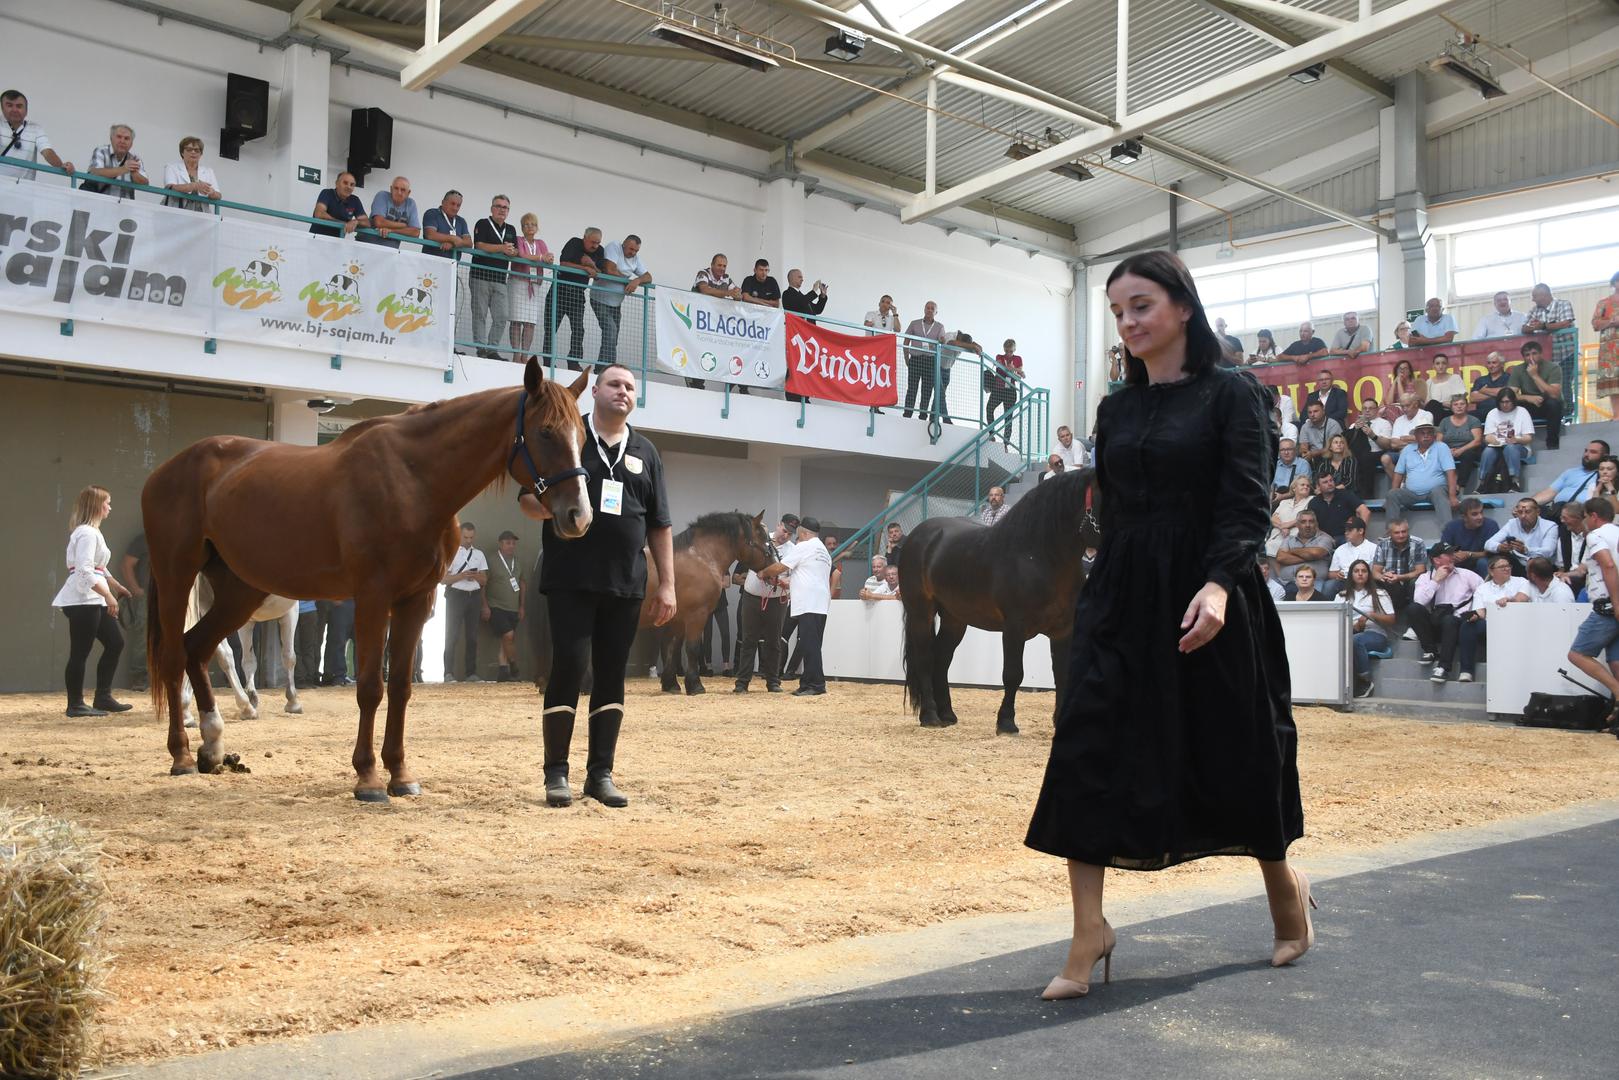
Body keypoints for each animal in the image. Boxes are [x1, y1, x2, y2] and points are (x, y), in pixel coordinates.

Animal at [180, 582, 304, 725]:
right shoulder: (290, 610)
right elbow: (289, 657)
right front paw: (293, 702)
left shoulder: (247, 622)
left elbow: (249, 661)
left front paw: (252, 695)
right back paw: (246, 708)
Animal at [641, 511, 773, 696]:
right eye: (764, 539)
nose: (775, 568)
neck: (701, 557)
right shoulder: (697, 614)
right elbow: (692, 648)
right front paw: (695, 685)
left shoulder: (678, 619)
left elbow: (672, 648)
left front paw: (671, 684)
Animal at [900, 469, 1100, 735]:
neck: (1038, 556)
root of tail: (918, 535)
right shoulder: (1014, 627)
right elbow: (1013, 673)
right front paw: (1006, 722)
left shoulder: (1063, 630)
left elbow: (1062, 675)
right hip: (920, 612)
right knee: (925, 658)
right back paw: (930, 716)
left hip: (955, 619)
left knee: (941, 659)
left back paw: (947, 714)